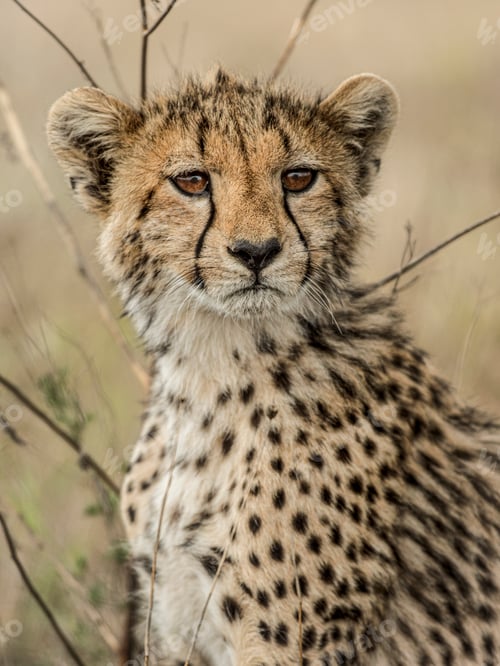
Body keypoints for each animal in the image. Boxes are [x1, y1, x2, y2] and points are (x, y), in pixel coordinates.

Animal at [47, 68, 500, 665]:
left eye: (298, 178)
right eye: (192, 181)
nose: (257, 251)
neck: (212, 370)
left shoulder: (291, 643)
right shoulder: (176, 620)